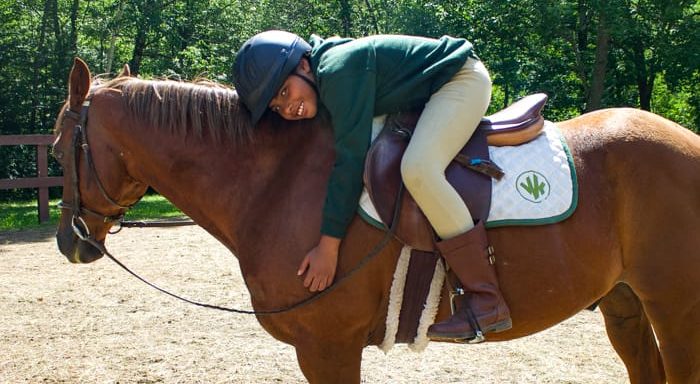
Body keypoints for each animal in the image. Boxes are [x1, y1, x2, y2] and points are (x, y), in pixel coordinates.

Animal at [53, 58, 700, 382]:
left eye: (60, 146)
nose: (69, 243)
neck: (277, 179)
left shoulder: (328, 348)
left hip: (674, 308)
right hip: (624, 303)